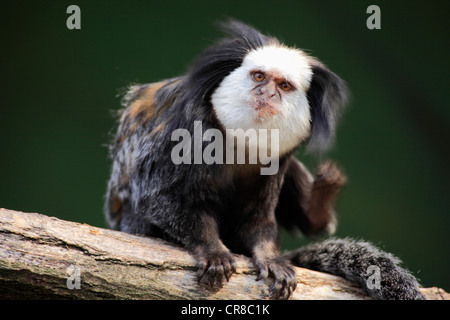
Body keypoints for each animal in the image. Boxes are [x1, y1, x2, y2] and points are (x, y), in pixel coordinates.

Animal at [106, 20, 426, 300]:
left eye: (284, 86)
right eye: (259, 76)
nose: (267, 93)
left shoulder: (278, 159)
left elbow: (258, 219)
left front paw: (270, 258)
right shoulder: (186, 130)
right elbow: (161, 198)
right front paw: (212, 250)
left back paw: (319, 204)